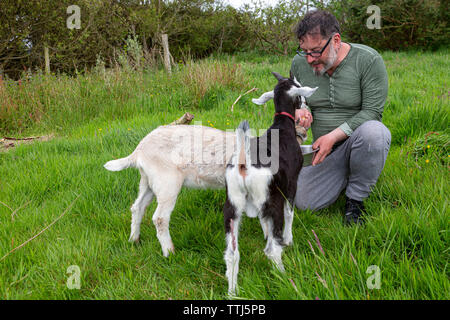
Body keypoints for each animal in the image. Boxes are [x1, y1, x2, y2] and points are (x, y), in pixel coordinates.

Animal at [223, 72, 318, 296]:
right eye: (299, 87)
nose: (306, 105)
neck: (281, 127)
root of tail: (245, 162)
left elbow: (264, 223)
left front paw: (267, 233)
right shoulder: (291, 184)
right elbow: (290, 213)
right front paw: (289, 239)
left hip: (233, 206)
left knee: (232, 253)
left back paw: (233, 291)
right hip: (271, 201)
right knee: (272, 250)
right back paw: (285, 278)